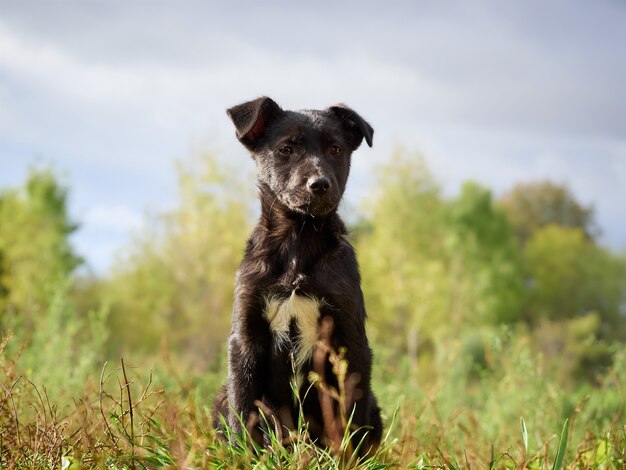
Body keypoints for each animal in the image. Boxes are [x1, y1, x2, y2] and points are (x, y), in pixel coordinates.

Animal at [213, 96, 380, 456]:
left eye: (335, 149)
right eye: (286, 149)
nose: (319, 185)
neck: (297, 241)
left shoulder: (350, 340)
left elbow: (352, 415)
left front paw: (350, 458)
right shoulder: (245, 337)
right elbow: (243, 407)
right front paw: (244, 455)